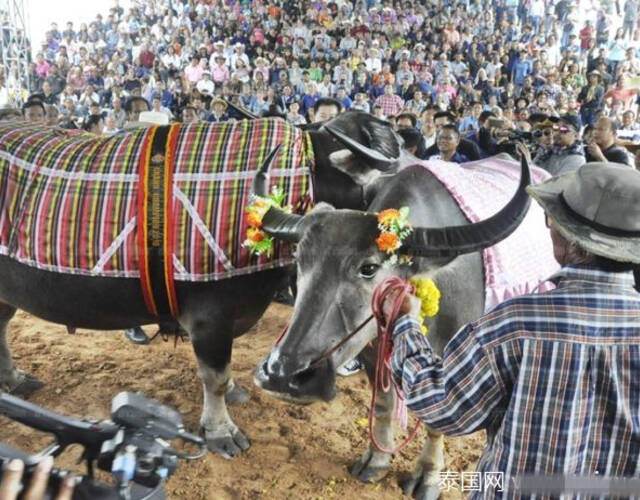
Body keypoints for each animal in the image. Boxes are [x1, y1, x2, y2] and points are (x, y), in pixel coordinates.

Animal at [0, 111, 410, 458]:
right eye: (380, 184)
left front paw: (235, 394)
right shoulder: (209, 317)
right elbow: (214, 377)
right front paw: (221, 431)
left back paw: (13, 379)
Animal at [255, 154, 556, 498]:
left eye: (369, 268)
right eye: (299, 259)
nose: (282, 374)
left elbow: (437, 423)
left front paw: (427, 477)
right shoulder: (371, 352)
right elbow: (383, 405)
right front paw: (375, 461)